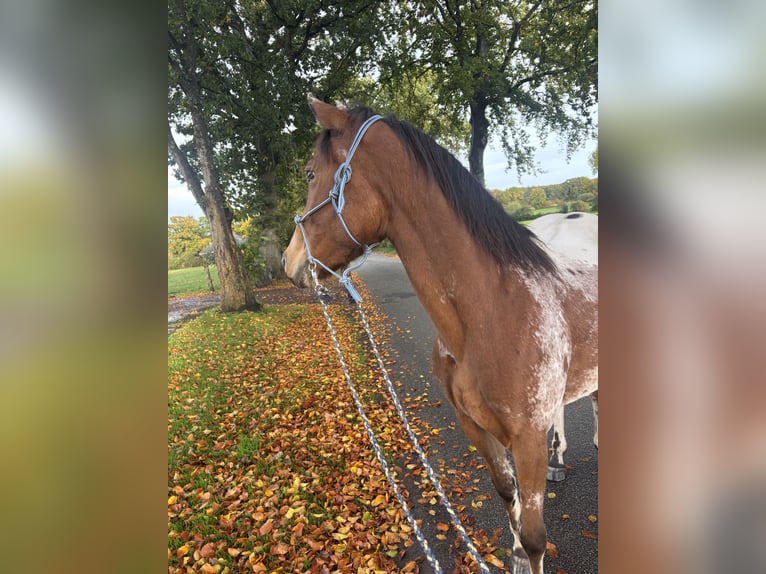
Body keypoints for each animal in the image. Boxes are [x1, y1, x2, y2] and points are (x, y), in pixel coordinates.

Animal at [283, 96, 598, 574]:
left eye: (309, 172)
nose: (289, 262)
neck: (492, 310)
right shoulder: (475, 427)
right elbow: (509, 501)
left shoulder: (527, 440)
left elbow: (535, 537)